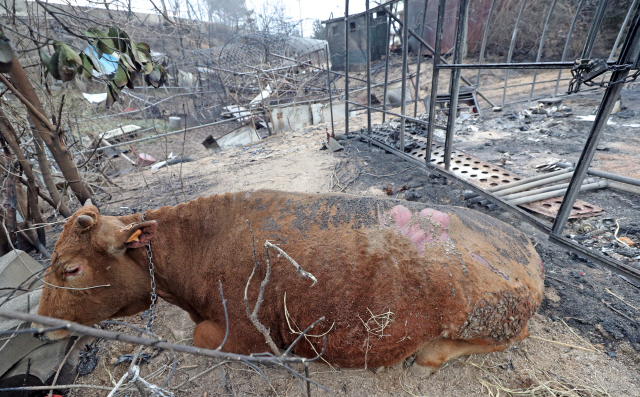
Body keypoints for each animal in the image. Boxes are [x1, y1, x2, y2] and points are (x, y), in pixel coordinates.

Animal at [37, 189, 544, 374]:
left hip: (490, 315)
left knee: (499, 338)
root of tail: (529, 249)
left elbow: (201, 337)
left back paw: (426, 357)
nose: (41, 326)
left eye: (72, 269)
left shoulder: (242, 333)